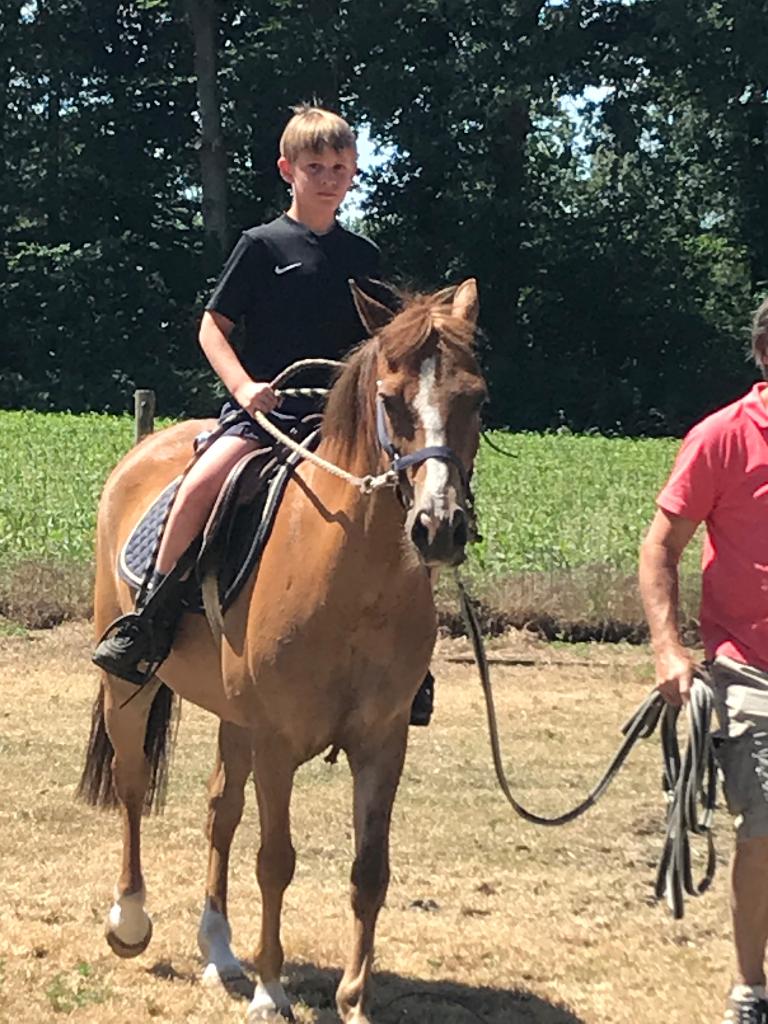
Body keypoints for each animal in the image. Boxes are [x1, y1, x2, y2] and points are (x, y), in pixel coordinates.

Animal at [78, 278, 486, 1023]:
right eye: (390, 399)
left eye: (476, 397)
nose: (440, 527)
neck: (352, 580)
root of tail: (147, 451)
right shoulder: (276, 742)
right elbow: (276, 860)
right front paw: (271, 991)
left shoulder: (382, 742)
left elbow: (369, 870)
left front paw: (354, 999)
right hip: (131, 688)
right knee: (131, 785)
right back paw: (131, 920)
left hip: (233, 715)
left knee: (219, 810)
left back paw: (219, 950)